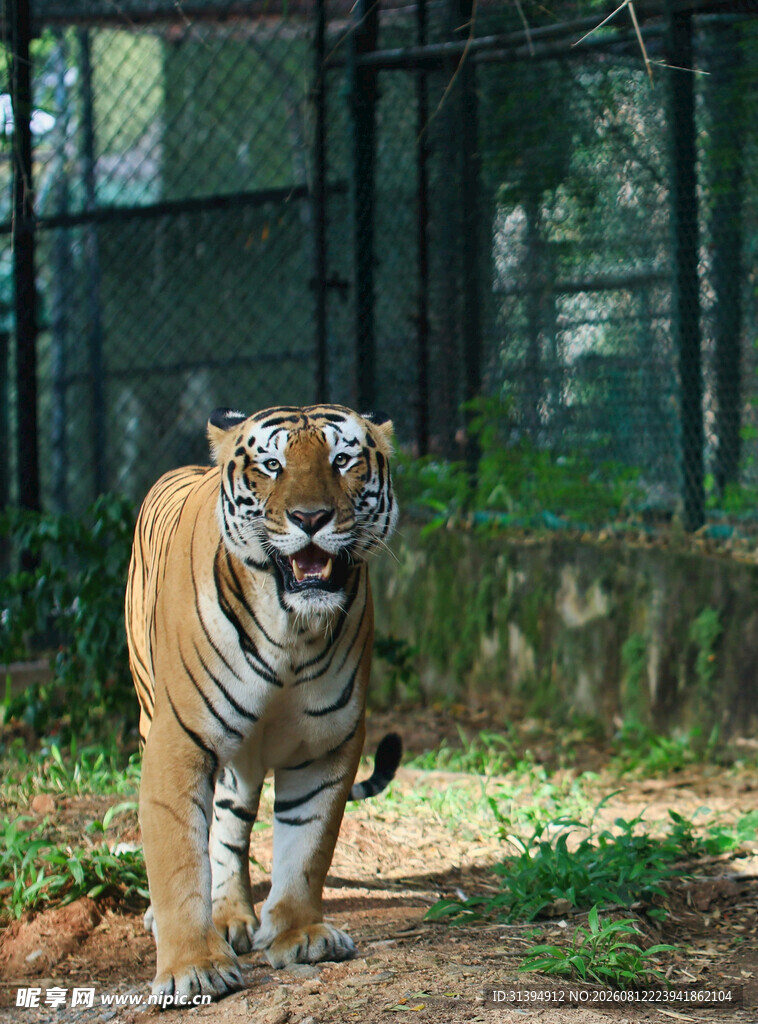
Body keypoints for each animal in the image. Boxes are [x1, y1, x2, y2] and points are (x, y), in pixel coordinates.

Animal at [125, 403, 400, 1004]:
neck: (292, 631)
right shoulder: (179, 738)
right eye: (272, 465)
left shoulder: (328, 743)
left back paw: (232, 915)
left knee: (229, 829)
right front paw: (191, 967)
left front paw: (300, 935)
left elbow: (307, 845)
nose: (310, 517)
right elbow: (178, 855)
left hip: (242, 760)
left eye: (341, 459)